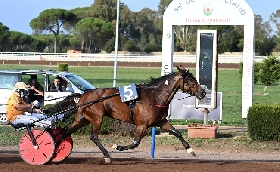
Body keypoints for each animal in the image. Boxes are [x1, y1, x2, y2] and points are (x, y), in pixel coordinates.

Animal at [52, 65, 206, 163]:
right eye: (191, 80)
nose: (203, 92)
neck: (155, 97)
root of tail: (83, 95)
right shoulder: (142, 125)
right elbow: (135, 143)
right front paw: (118, 147)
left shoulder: (161, 122)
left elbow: (177, 133)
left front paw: (190, 150)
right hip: (97, 118)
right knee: (93, 136)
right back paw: (107, 155)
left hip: (82, 119)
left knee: (65, 132)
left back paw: (54, 153)